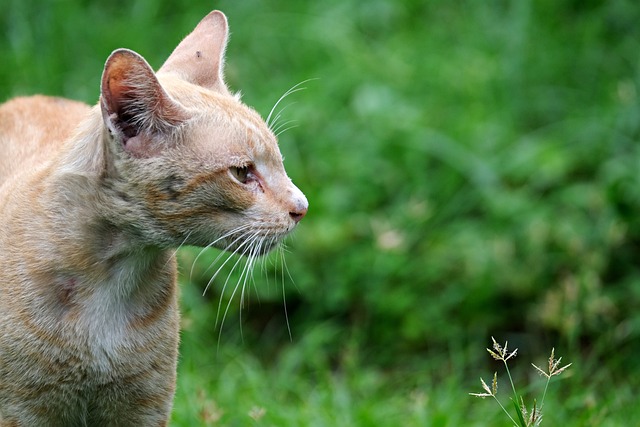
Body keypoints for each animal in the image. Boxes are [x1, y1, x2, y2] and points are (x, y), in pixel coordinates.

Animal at [0, 10, 308, 427]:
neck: (111, 278)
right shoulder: (22, 411)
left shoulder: (143, 408)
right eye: (243, 173)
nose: (302, 207)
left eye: (278, 161)